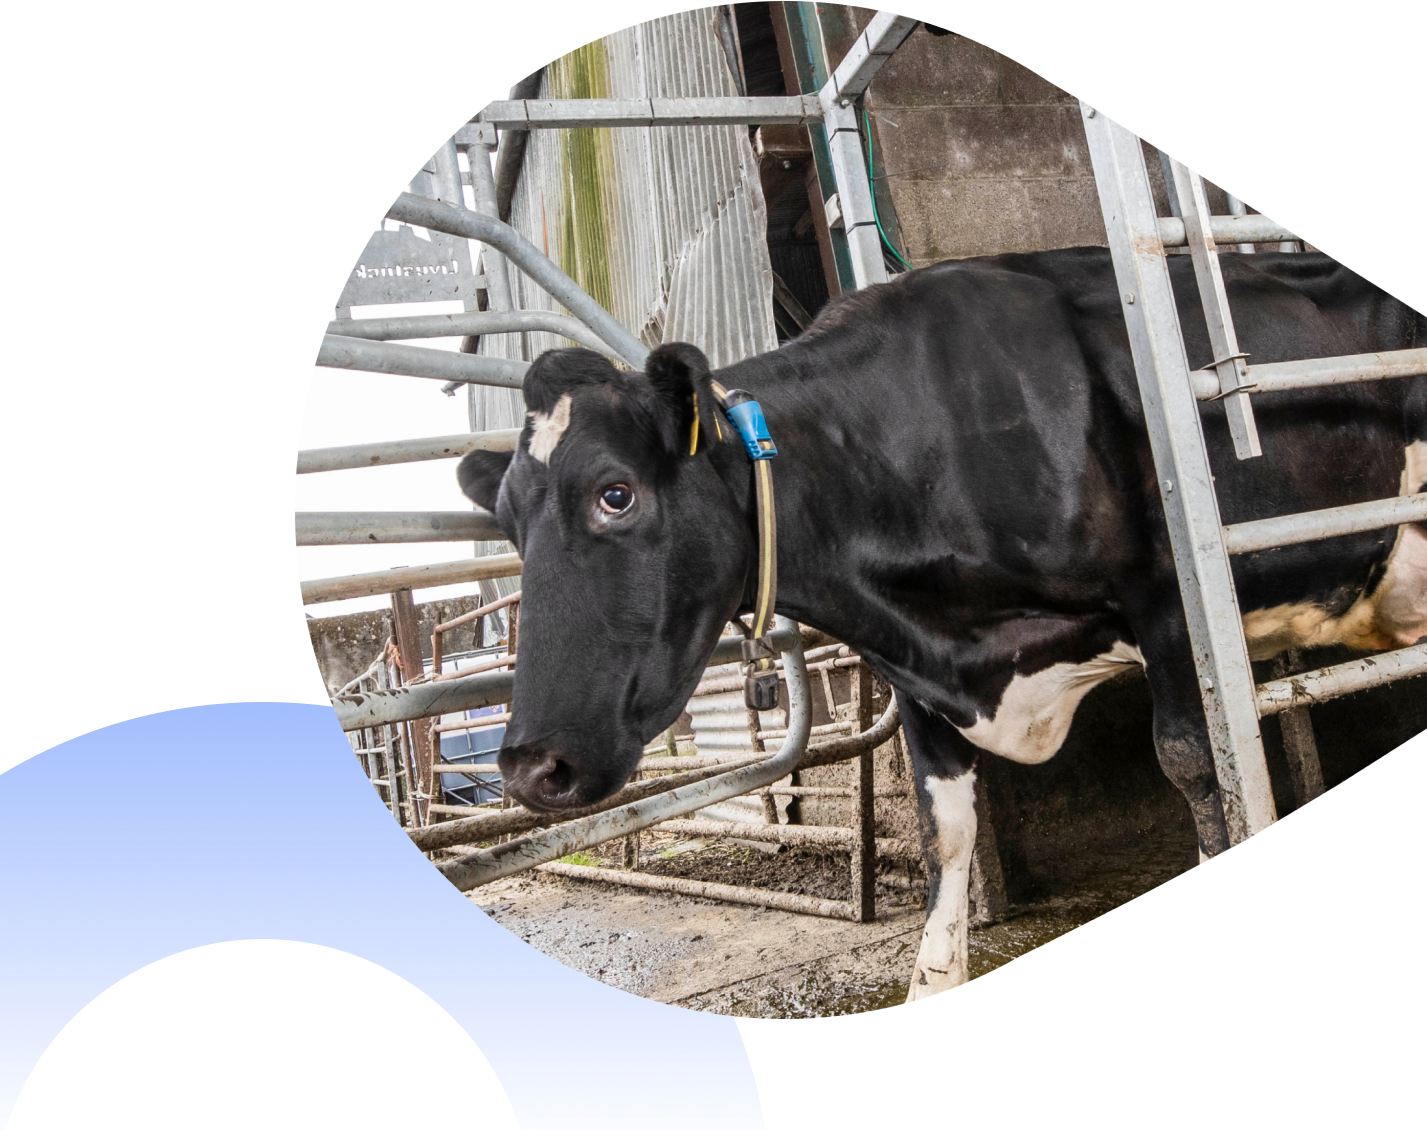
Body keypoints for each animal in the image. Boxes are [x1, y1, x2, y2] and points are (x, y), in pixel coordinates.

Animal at [456, 246, 1426, 1003]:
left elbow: (1198, 766)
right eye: (505, 524)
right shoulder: (915, 675)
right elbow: (941, 833)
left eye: (615, 493)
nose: (529, 767)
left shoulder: (1167, 600)